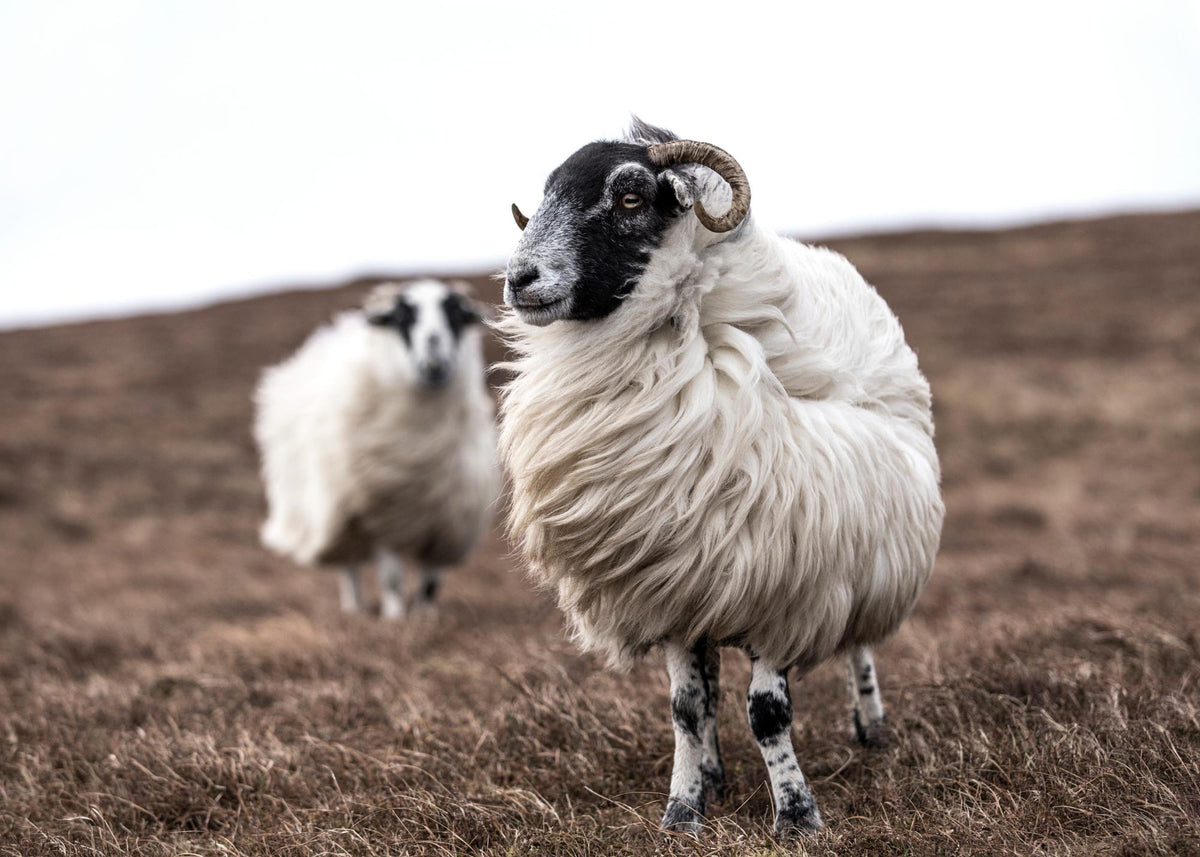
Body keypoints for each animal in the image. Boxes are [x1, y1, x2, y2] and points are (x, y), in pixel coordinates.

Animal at [255, 279, 499, 620]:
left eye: (455, 316)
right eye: (402, 318)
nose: (434, 364)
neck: (420, 447)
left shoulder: (447, 521)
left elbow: (430, 581)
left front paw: (425, 618)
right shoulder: (381, 517)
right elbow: (392, 577)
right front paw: (395, 619)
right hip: (338, 515)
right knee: (349, 568)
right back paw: (354, 610)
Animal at [497, 119, 944, 837]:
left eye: (629, 197)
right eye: (545, 194)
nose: (520, 278)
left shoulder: (787, 580)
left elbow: (768, 713)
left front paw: (797, 816)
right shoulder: (674, 581)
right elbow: (686, 707)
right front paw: (683, 811)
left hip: (863, 545)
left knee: (858, 644)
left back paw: (871, 726)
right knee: (706, 687)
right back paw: (713, 774)